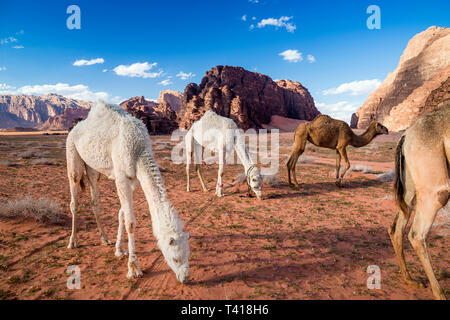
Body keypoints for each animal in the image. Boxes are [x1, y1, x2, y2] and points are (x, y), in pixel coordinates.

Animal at [65, 100, 190, 282]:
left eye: (189, 255)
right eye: (175, 258)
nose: (185, 277)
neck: (138, 149)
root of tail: (74, 129)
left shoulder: (134, 180)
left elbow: (121, 214)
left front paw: (119, 250)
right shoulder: (121, 178)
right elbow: (130, 222)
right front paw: (133, 268)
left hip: (92, 168)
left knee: (94, 200)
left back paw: (105, 239)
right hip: (72, 153)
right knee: (74, 198)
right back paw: (73, 242)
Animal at [388, 102, 448, 300]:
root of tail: (406, 136)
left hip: (410, 184)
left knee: (397, 226)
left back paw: (409, 279)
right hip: (434, 184)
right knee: (416, 234)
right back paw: (439, 293)